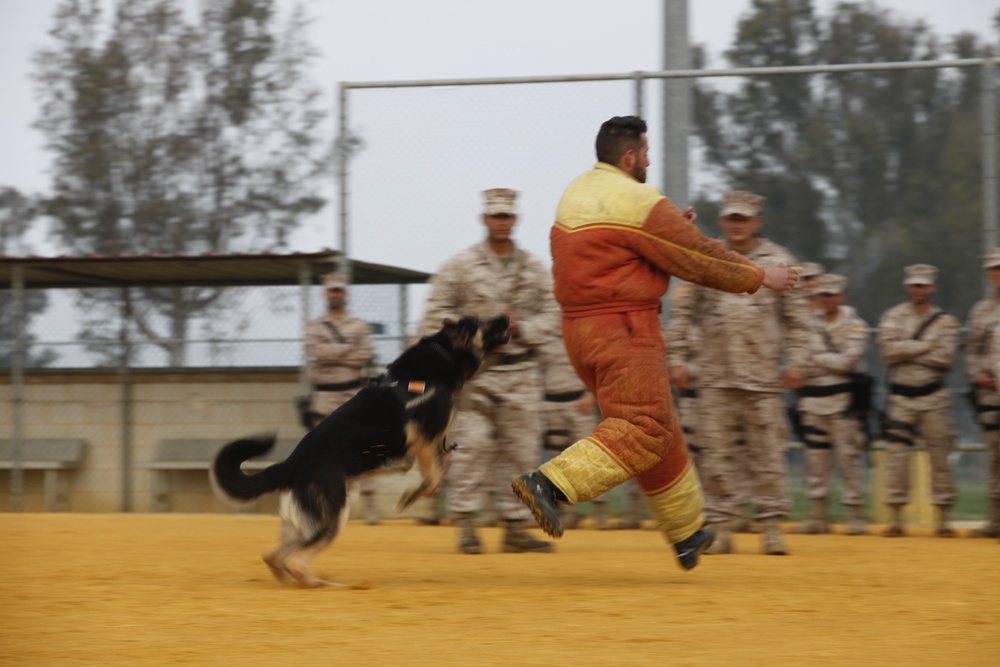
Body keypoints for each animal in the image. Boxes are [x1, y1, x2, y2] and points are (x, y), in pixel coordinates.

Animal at [210, 316, 508, 588]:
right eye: (481, 321)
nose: (507, 317)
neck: (440, 360)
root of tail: (290, 464)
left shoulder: (435, 443)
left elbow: (441, 468)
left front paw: (416, 494)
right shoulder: (421, 441)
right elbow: (434, 478)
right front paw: (411, 497)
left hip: (310, 521)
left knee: (274, 556)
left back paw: (296, 580)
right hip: (333, 516)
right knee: (292, 559)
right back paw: (318, 584)